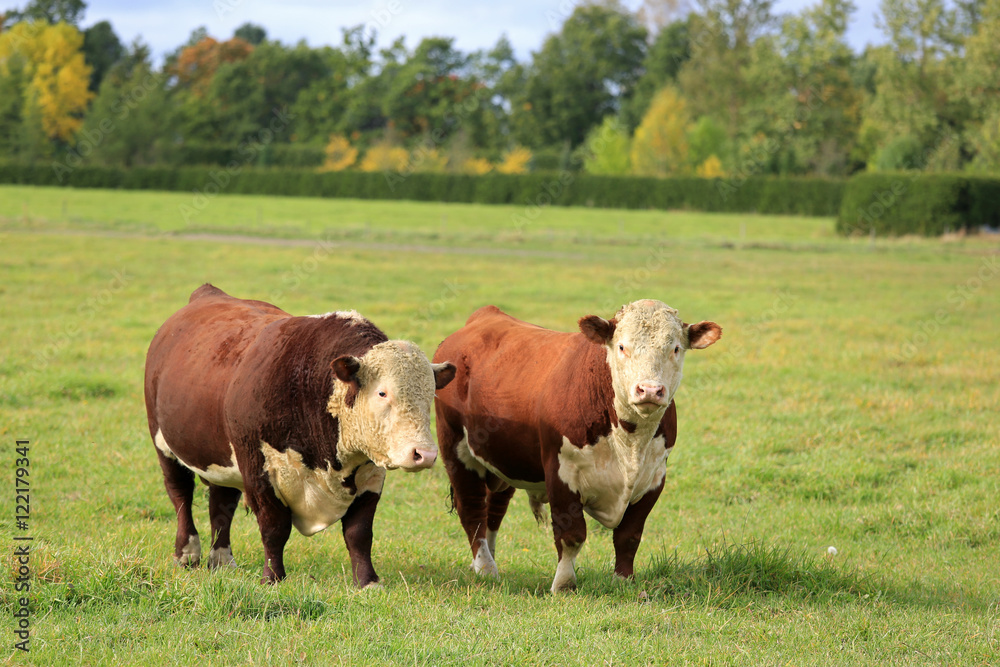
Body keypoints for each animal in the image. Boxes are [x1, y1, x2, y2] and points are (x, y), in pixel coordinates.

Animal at [146, 284, 458, 588]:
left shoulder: (371, 476)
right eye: (382, 392)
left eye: (431, 394)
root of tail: (207, 293)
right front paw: (273, 578)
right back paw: (187, 553)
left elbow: (359, 532)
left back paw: (221, 560)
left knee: (222, 503)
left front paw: (367, 581)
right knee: (181, 496)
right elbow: (274, 528)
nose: (424, 454)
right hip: (164, 446)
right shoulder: (259, 470)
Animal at [432, 300, 720, 592]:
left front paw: (622, 580)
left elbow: (629, 535)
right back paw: (486, 568)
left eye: (675, 348)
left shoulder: (654, 477)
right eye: (622, 346)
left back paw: (488, 558)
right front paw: (564, 584)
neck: (630, 443)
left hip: (505, 460)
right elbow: (572, 535)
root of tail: (484, 315)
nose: (649, 390)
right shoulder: (561, 472)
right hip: (455, 448)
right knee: (472, 510)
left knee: (494, 510)